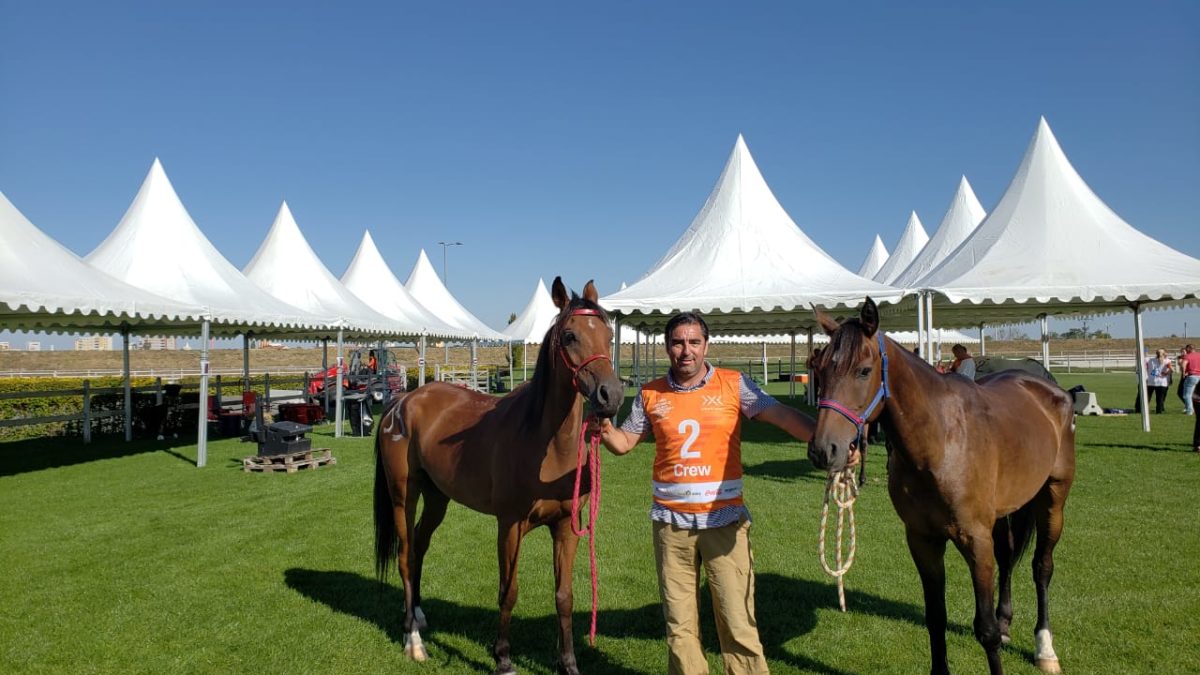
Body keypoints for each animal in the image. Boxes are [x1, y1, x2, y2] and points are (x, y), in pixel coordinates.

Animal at [372, 276, 619, 667]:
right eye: (569, 336)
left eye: (609, 336)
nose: (611, 395)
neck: (545, 445)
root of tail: (403, 401)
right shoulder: (510, 526)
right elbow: (508, 591)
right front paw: (503, 658)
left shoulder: (566, 528)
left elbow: (564, 596)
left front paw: (568, 662)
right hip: (403, 497)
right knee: (405, 556)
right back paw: (413, 640)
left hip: (437, 498)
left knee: (420, 546)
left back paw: (418, 615)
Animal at [806, 299, 1080, 672]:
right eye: (819, 368)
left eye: (863, 370)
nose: (824, 449)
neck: (940, 441)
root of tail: (1049, 388)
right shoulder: (923, 540)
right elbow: (936, 617)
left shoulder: (975, 540)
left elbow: (986, 631)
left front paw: (1002, 636)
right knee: (1008, 558)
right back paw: (1008, 622)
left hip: (1053, 500)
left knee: (1042, 567)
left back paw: (1045, 648)